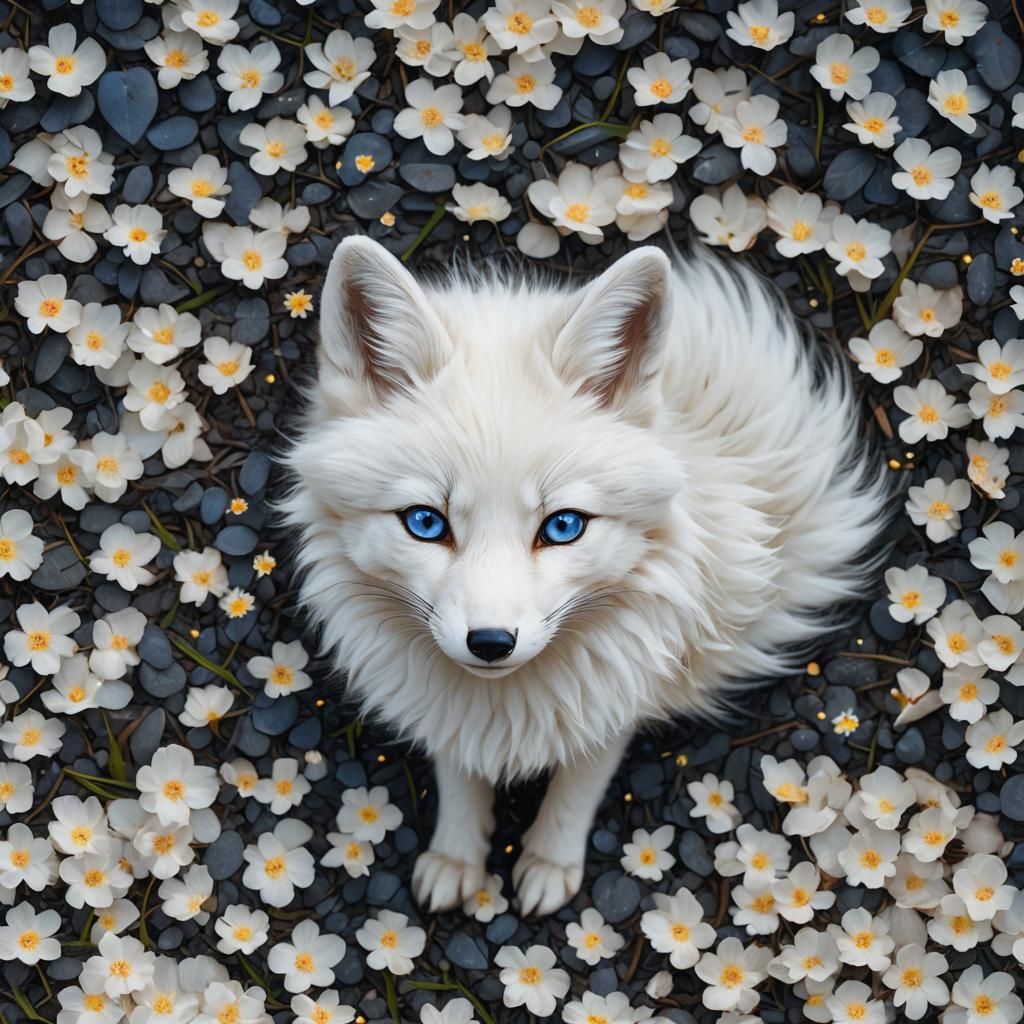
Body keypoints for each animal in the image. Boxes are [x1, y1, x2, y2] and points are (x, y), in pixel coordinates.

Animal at [284, 235, 889, 917]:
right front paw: (457, 857)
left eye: (564, 526)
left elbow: (579, 782)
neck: (506, 704)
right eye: (425, 522)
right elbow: (459, 772)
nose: (490, 644)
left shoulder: (625, 688)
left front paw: (550, 862)